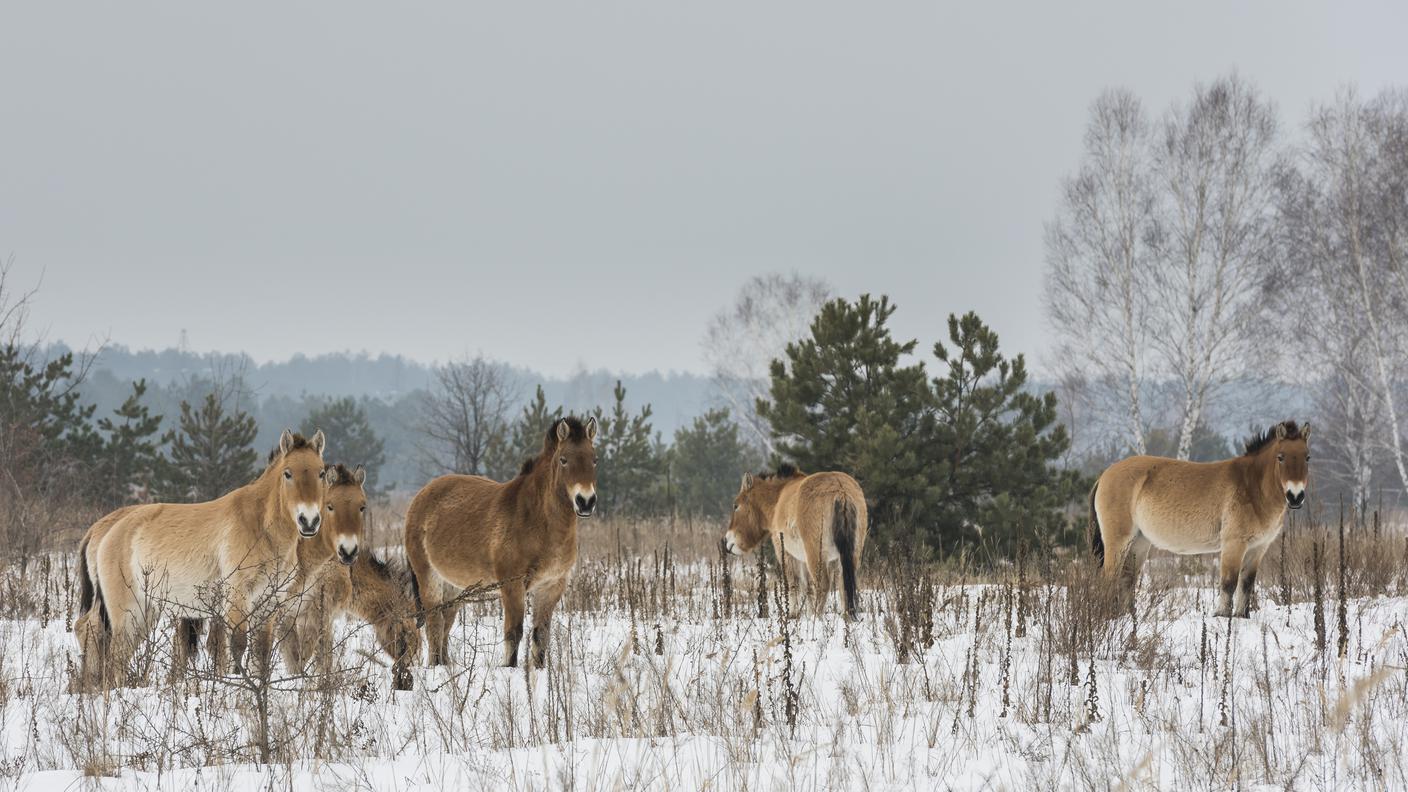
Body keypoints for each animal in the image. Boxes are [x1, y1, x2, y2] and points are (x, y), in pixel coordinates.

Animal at [75, 430, 327, 688]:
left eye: (321, 472)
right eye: (288, 473)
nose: (309, 521)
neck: (260, 526)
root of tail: (108, 530)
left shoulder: (268, 603)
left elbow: (262, 653)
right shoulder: (237, 598)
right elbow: (237, 646)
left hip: (145, 611)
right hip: (127, 613)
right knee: (112, 650)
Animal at [405, 416, 597, 668]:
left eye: (594, 460)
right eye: (564, 460)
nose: (586, 502)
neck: (536, 520)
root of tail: (420, 497)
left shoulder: (551, 586)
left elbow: (541, 635)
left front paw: (539, 671)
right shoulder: (512, 585)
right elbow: (514, 632)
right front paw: (509, 668)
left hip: (453, 587)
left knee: (445, 624)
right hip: (429, 577)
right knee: (434, 624)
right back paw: (436, 666)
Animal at [722, 465, 868, 619]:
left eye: (736, 506)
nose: (726, 541)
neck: (778, 499)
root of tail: (840, 491)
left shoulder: (785, 552)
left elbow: (792, 583)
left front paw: (792, 613)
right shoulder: (804, 559)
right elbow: (808, 588)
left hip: (815, 556)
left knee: (823, 585)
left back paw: (816, 616)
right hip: (851, 555)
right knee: (843, 584)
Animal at [1090, 420, 1311, 618]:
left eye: (1307, 457)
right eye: (1281, 457)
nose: (1296, 496)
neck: (1251, 487)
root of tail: (1105, 475)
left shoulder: (1258, 548)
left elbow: (1246, 585)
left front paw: (1241, 617)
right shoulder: (1233, 545)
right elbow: (1229, 583)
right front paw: (1222, 616)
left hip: (1140, 543)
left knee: (1127, 579)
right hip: (1119, 542)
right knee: (1110, 578)